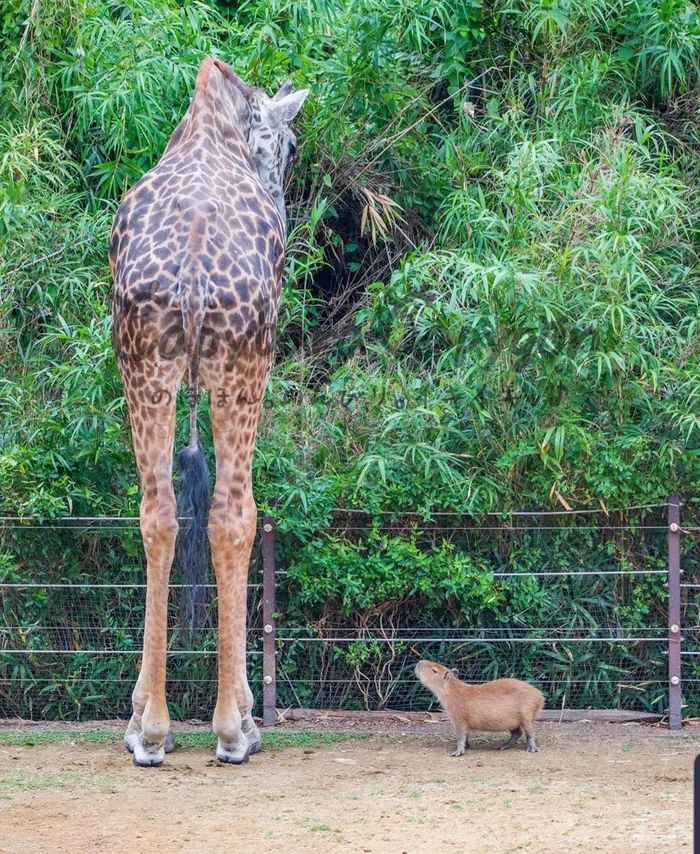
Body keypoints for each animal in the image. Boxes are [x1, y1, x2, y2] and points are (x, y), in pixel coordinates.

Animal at [108, 60, 306, 768]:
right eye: (291, 145)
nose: (283, 201)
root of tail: (193, 267)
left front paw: (142, 716)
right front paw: (245, 712)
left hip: (144, 367)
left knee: (157, 514)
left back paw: (150, 731)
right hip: (241, 369)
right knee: (232, 516)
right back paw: (231, 730)